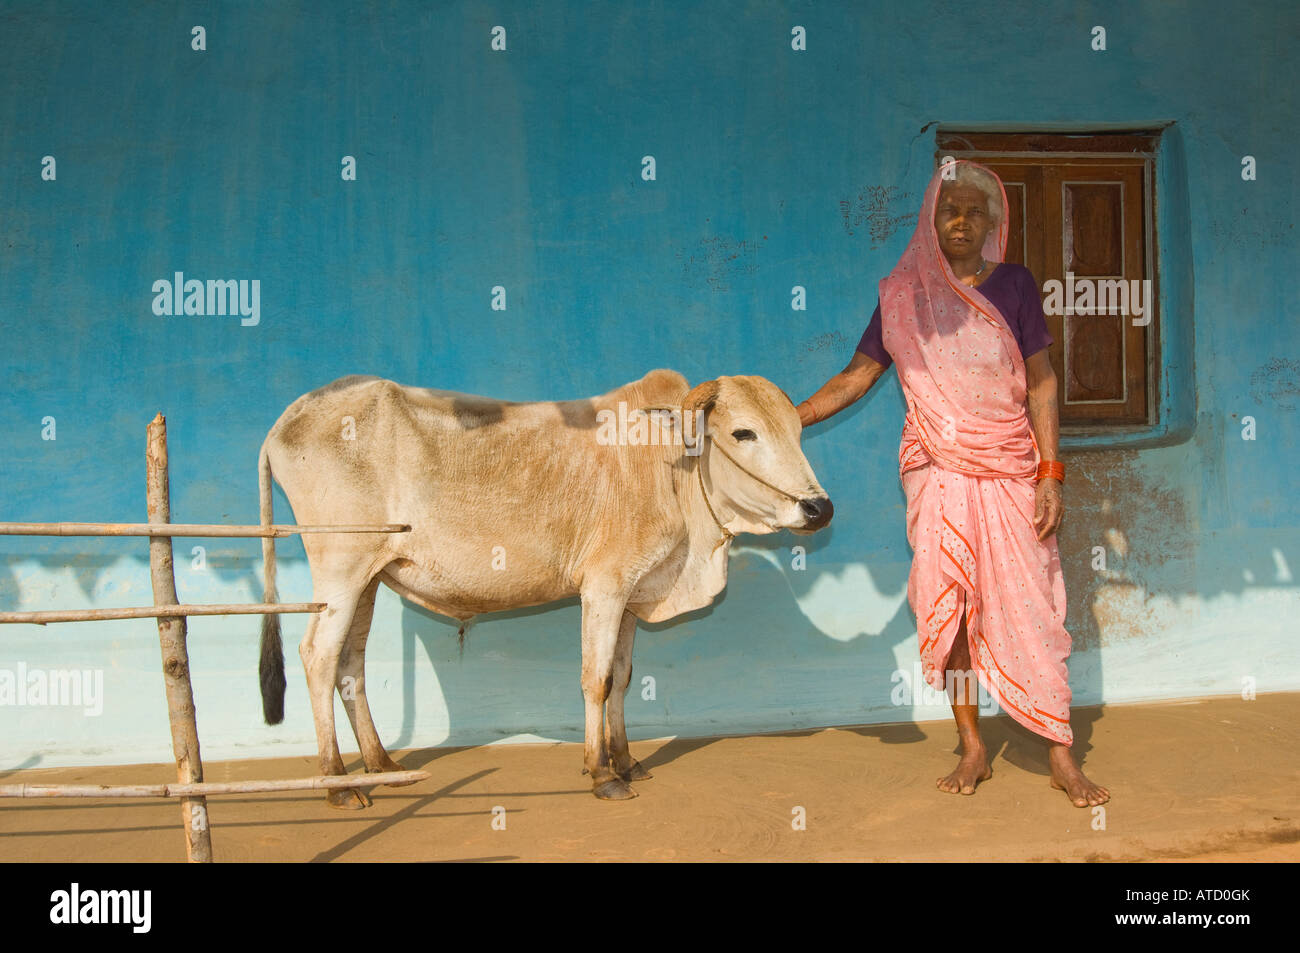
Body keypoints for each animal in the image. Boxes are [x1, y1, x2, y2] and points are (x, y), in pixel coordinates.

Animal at [256, 369, 832, 806]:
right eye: (743, 434)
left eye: (797, 431)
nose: (818, 508)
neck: (668, 469)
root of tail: (289, 418)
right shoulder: (604, 586)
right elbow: (596, 679)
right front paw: (602, 774)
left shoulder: (630, 597)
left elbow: (623, 679)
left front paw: (628, 761)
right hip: (340, 569)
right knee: (318, 657)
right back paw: (337, 782)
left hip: (370, 578)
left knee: (350, 664)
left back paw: (380, 763)